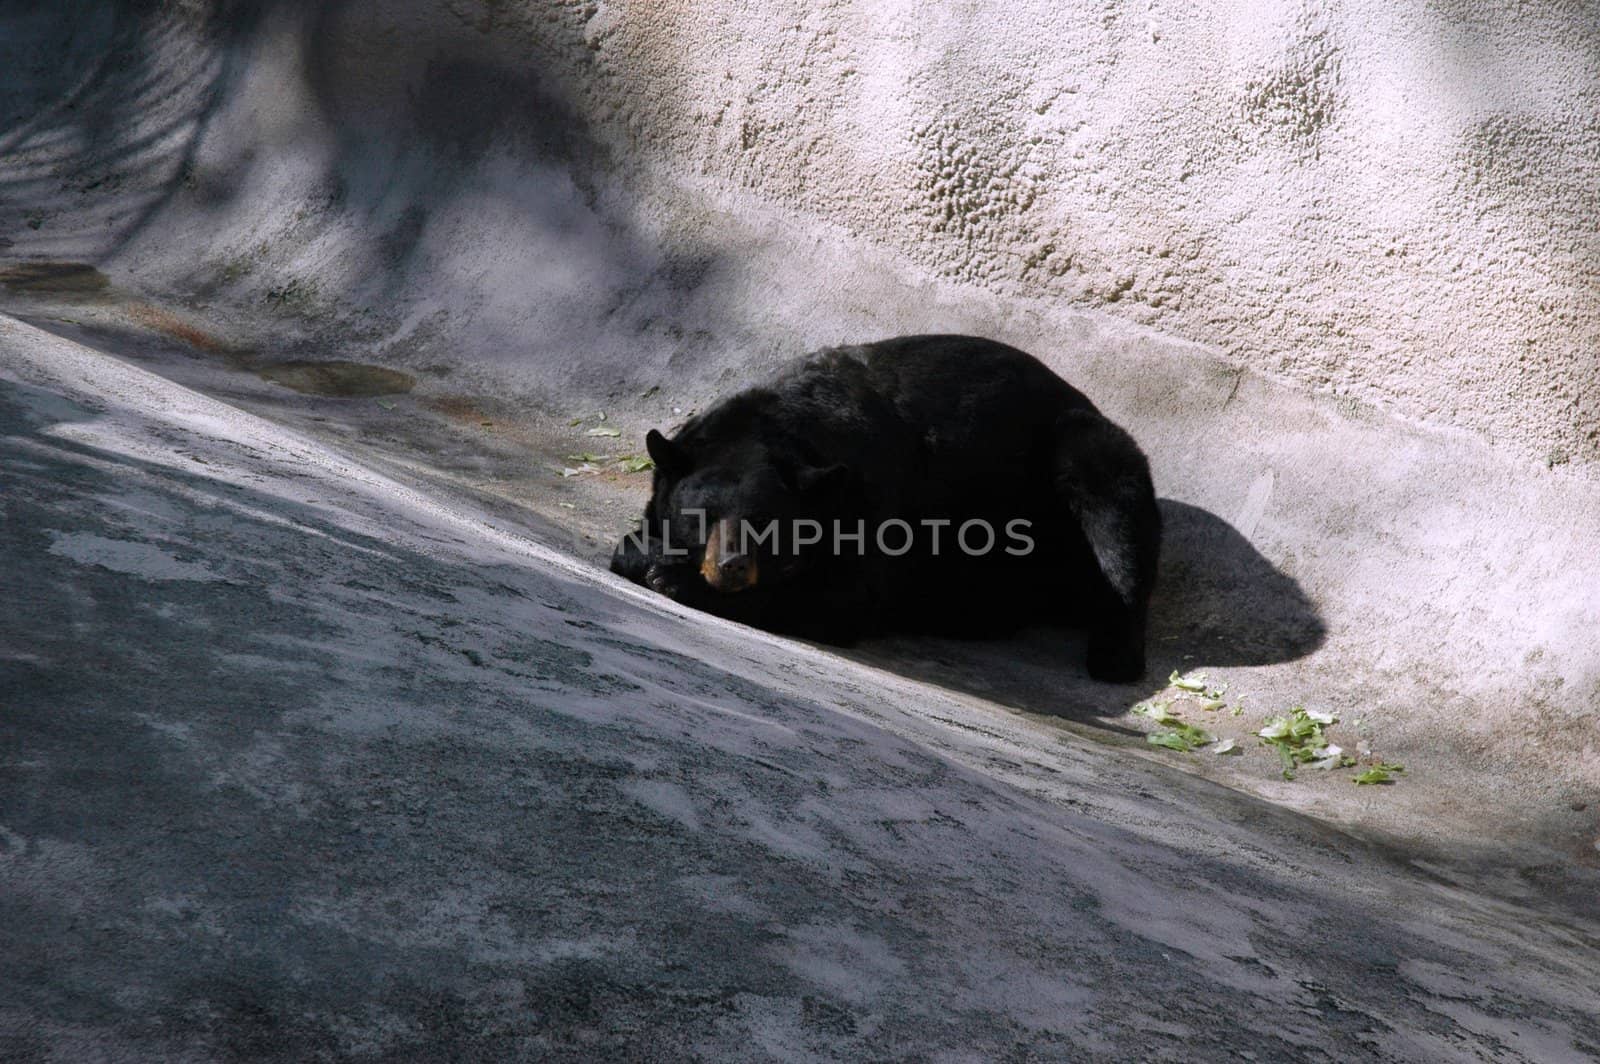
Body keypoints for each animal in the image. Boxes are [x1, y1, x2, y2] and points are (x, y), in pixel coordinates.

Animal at [604, 332, 1158, 681]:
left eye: (767, 524)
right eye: (702, 518)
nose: (733, 565)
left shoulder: (871, 500)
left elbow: (840, 597)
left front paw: (674, 577)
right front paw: (649, 555)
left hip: (1076, 453)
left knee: (1114, 511)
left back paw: (1112, 653)